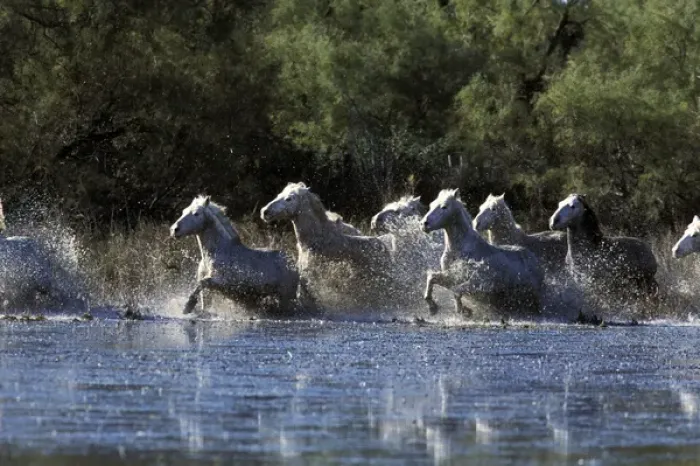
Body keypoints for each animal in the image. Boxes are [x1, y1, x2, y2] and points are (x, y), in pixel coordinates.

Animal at [170, 195, 299, 315]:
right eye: (183, 211)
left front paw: (187, 307)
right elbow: (203, 296)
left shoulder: (222, 282)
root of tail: (293, 263)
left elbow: (202, 283)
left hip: (285, 297)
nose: (174, 230)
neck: (217, 252)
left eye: (196, 214)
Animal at [421, 189, 545, 318]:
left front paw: (463, 310)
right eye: (431, 205)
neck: (461, 250)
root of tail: (534, 259)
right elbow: (432, 278)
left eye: (444, 206)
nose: (424, 224)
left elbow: (456, 291)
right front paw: (432, 307)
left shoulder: (481, 283)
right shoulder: (452, 276)